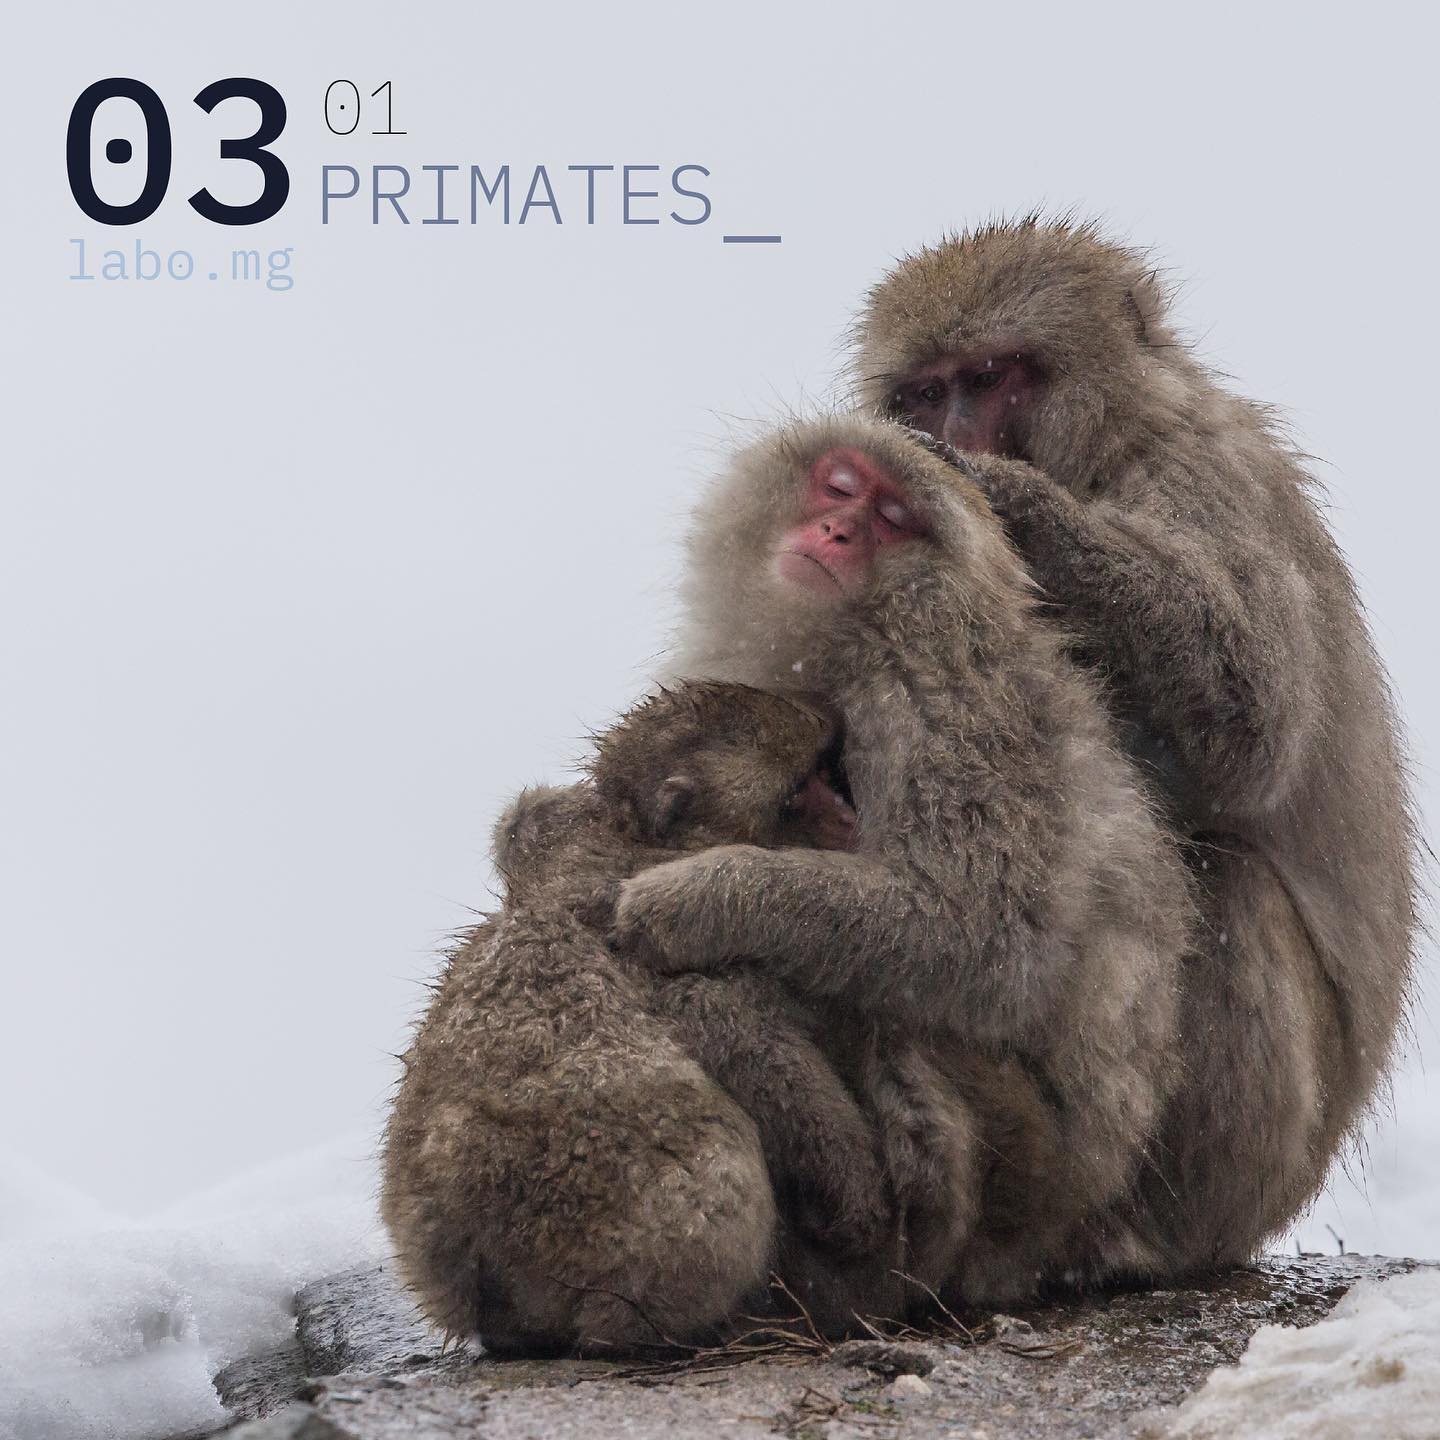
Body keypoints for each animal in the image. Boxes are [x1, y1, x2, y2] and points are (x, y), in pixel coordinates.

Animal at [380, 679, 899, 1356]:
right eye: (797, 792)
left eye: (822, 769)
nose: (848, 819)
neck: (642, 842)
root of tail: (481, 1270)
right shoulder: (696, 959)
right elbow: (760, 1060)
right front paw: (855, 1200)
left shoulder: (552, 833)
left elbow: (523, 823)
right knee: (716, 1174)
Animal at [612, 414, 1195, 1309]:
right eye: (840, 486)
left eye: (891, 518)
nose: (838, 531)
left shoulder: (936, 682)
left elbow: (980, 935)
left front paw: (690, 903)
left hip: (1023, 1177)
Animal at [848, 217, 1418, 1278]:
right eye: (926, 390)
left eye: (988, 376)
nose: (958, 435)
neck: (1111, 448)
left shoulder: (1197, 479)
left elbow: (1251, 718)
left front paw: (1014, 502)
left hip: (1265, 1175)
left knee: (1229, 885)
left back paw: (1128, 1237)